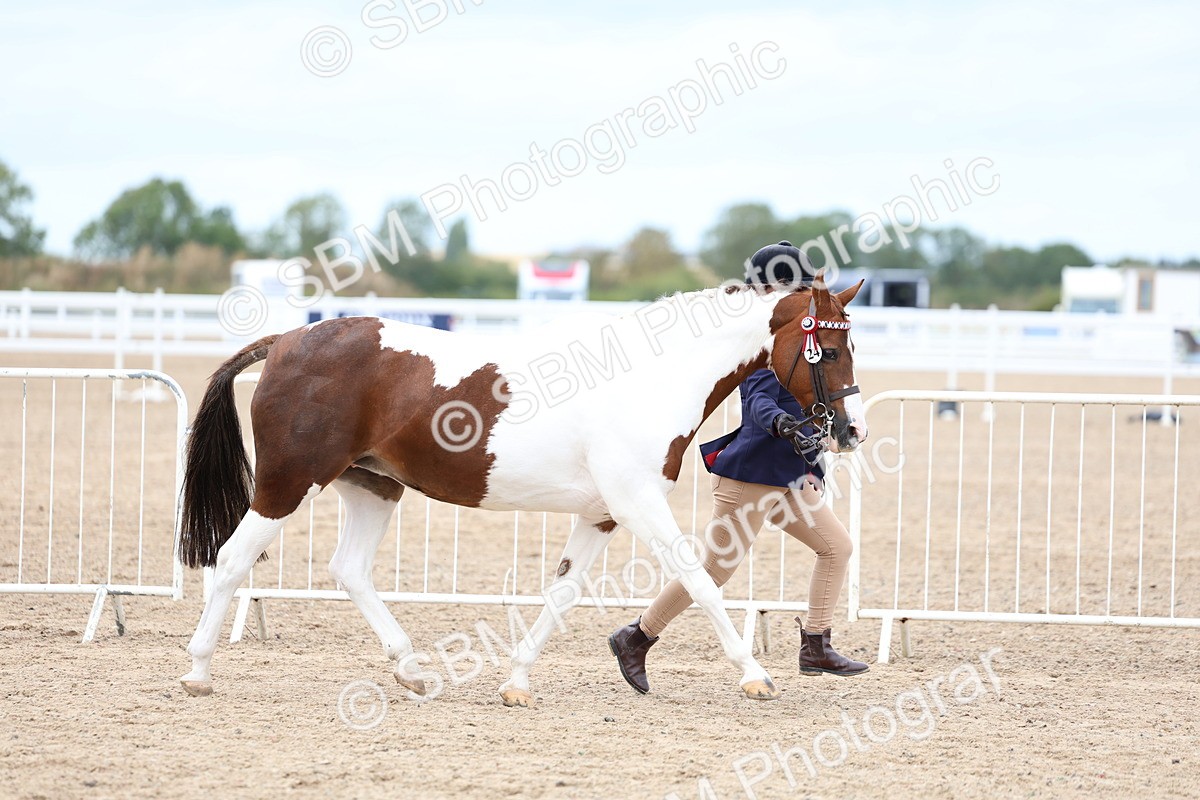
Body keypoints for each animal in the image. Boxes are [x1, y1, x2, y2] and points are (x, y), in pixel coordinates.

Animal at [177, 275, 867, 706]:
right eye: (831, 350)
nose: (851, 430)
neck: (651, 380)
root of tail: (287, 341)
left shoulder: (601, 515)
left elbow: (561, 594)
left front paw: (517, 683)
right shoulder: (638, 504)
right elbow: (699, 581)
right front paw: (756, 677)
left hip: (372, 487)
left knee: (349, 569)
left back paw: (412, 671)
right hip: (288, 483)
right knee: (231, 561)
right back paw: (197, 671)